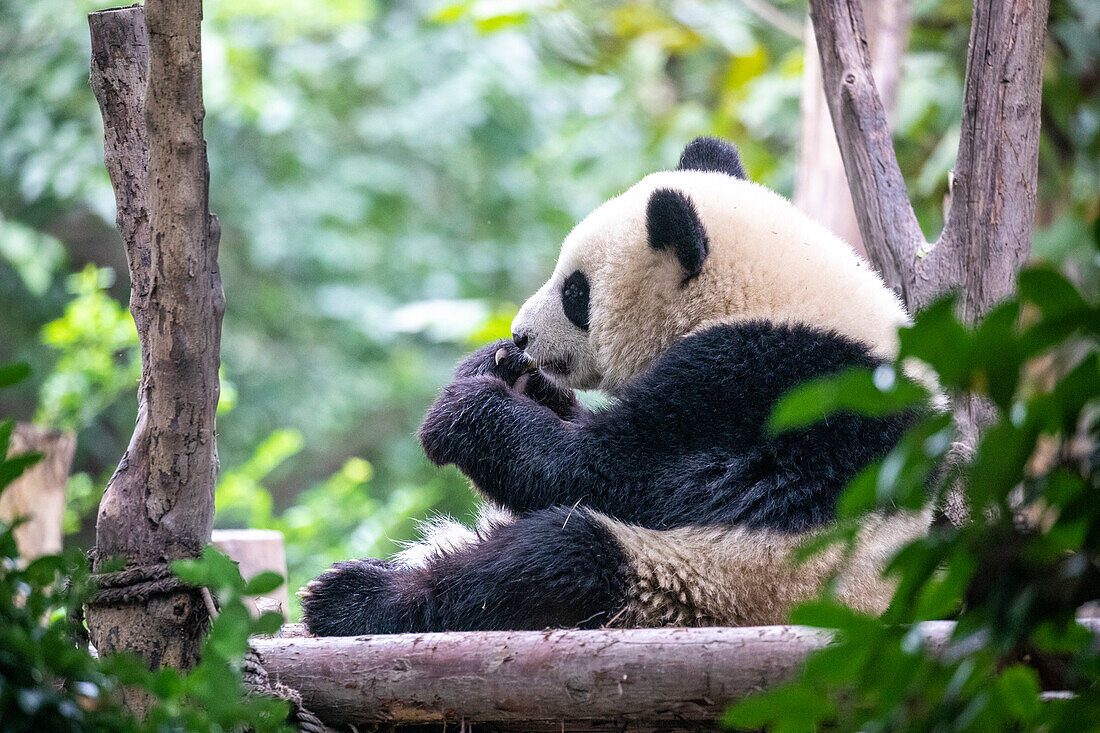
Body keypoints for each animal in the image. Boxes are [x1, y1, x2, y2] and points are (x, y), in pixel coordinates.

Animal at [299, 137, 928, 633]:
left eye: (576, 292)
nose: (520, 335)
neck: (775, 297)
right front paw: (505, 373)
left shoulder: (763, 385)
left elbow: (605, 472)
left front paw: (463, 411)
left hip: (709, 584)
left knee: (552, 561)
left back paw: (350, 599)